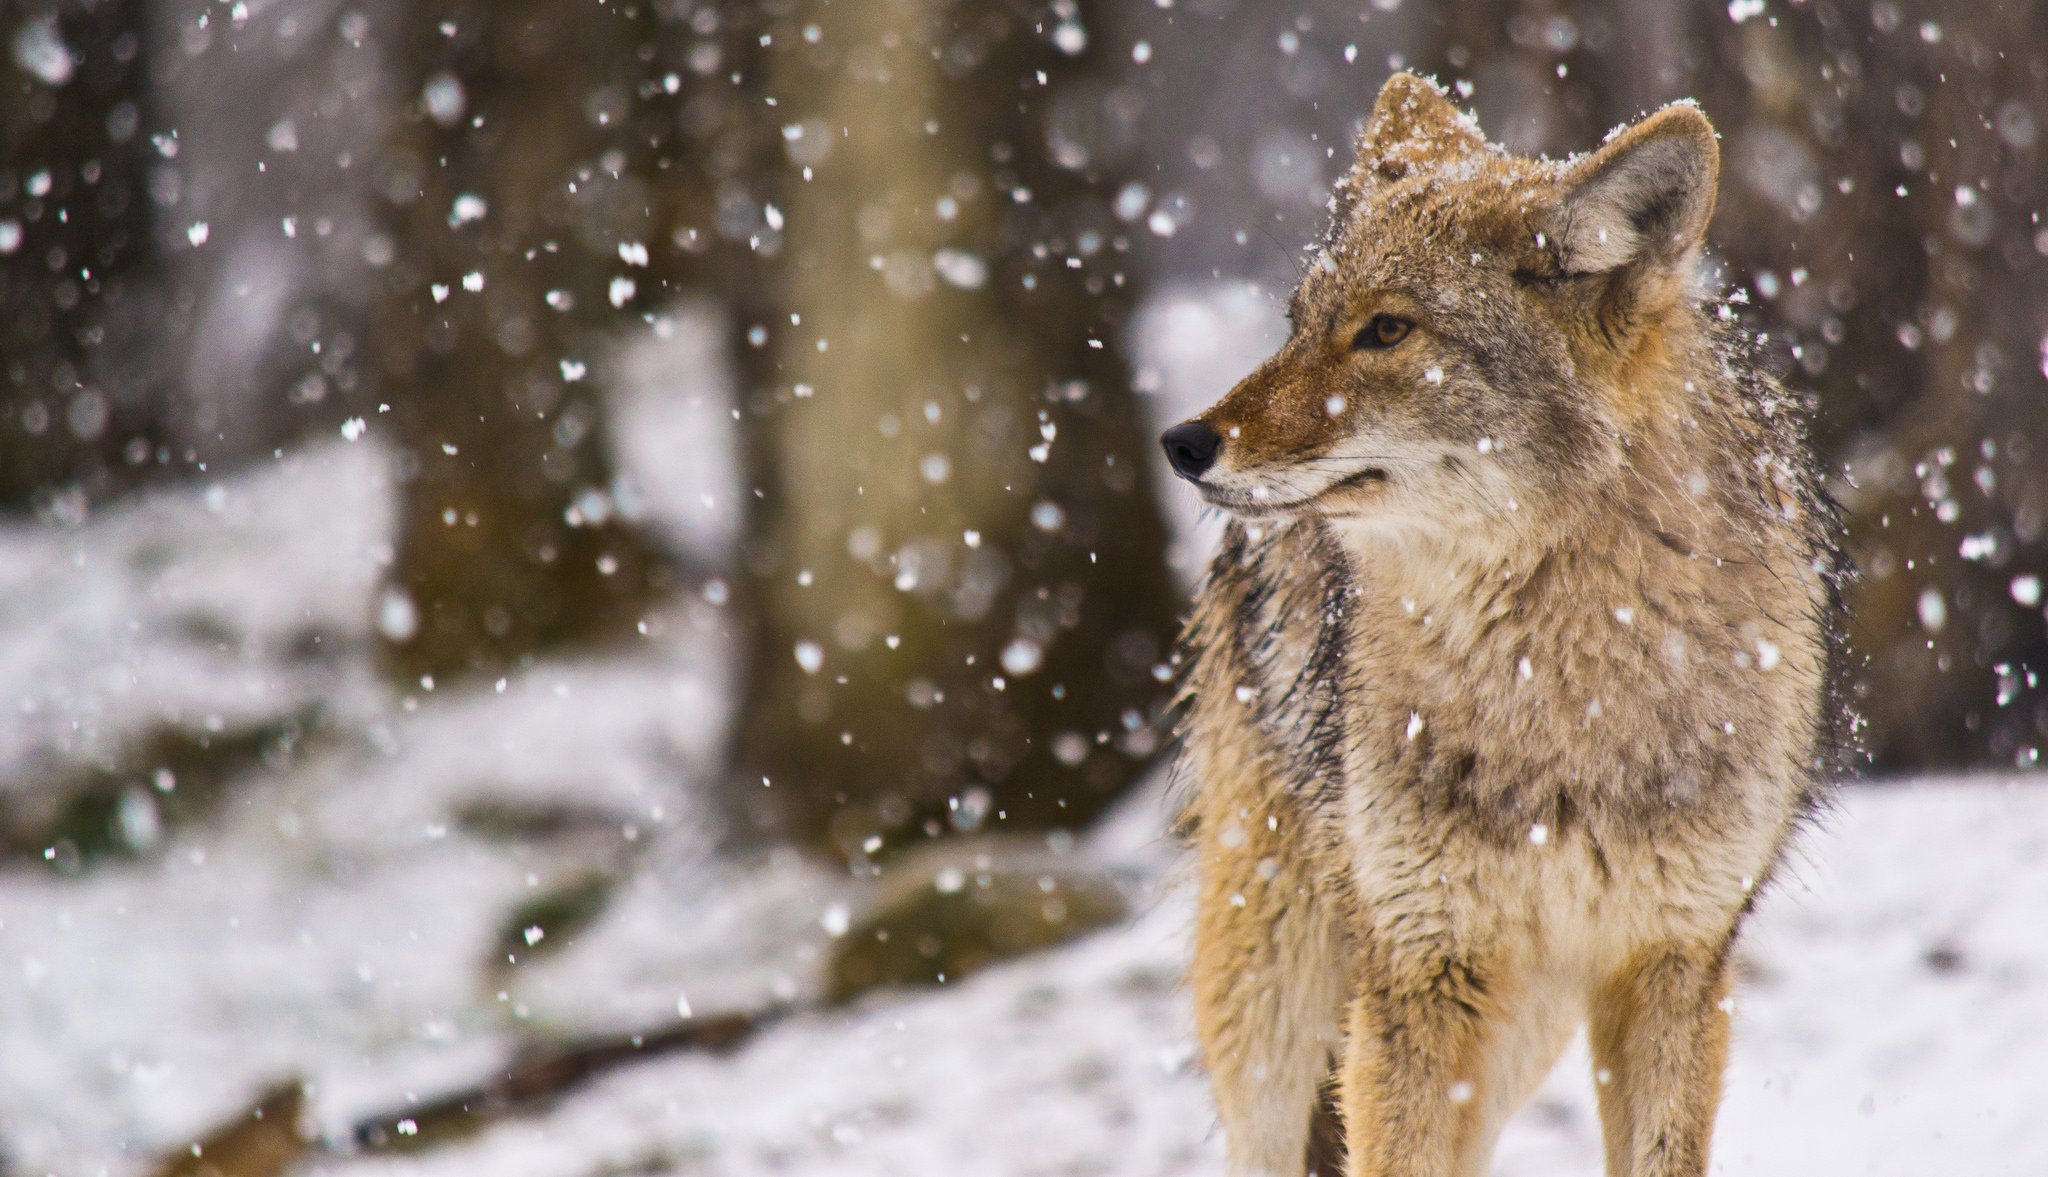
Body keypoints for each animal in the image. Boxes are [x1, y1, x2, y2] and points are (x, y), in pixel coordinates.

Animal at [1162, 73, 1846, 1177]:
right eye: (1297, 323)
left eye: (1386, 331)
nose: (1182, 442)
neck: (1557, 693)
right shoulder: (1417, 973)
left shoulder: (1674, 966)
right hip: (1278, 998)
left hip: (1518, 1023)